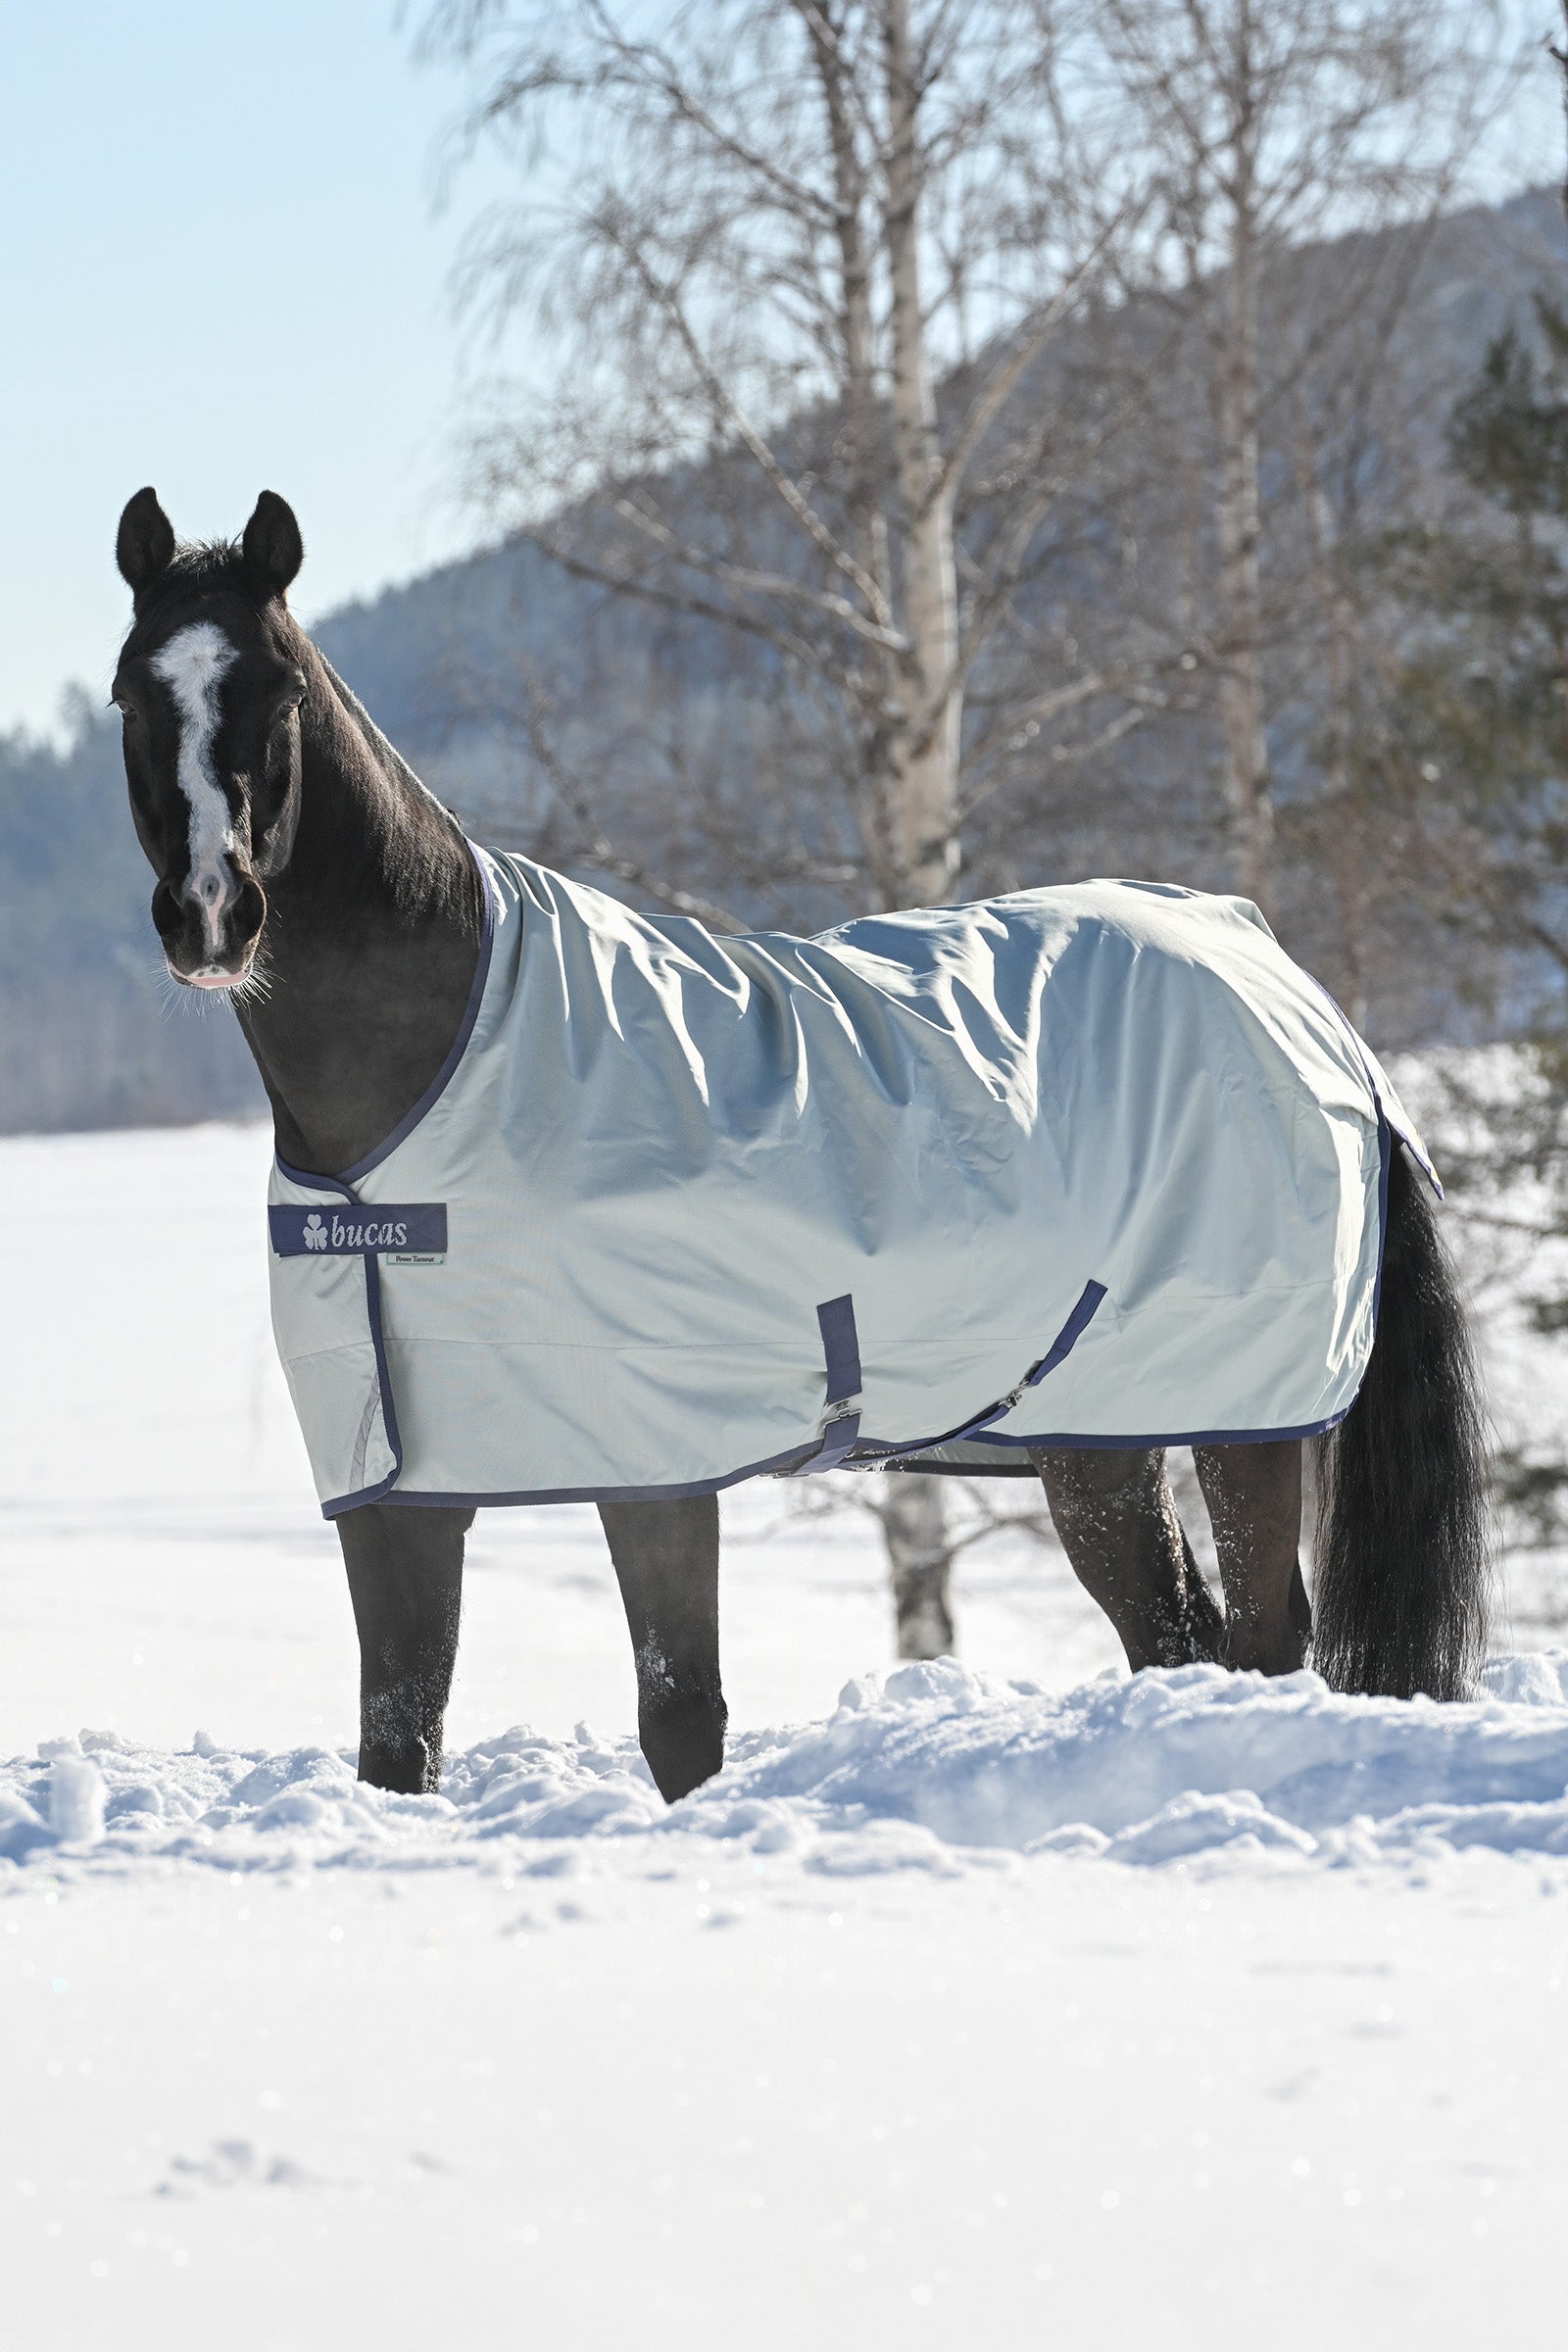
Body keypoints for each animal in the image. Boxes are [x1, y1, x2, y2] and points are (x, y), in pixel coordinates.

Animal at [110, 487, 1492, 1802]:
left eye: (279, 691)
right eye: (132, 693)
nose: (213, 915)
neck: (427, 1094)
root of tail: (1275, 968)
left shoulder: (658, 1462)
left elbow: (681, 1720)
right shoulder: (393, 1486)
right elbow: (398, 1742)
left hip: (1247, 1417)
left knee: (1261, 1636)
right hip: (1098, 1433)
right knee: (1175, 1635)